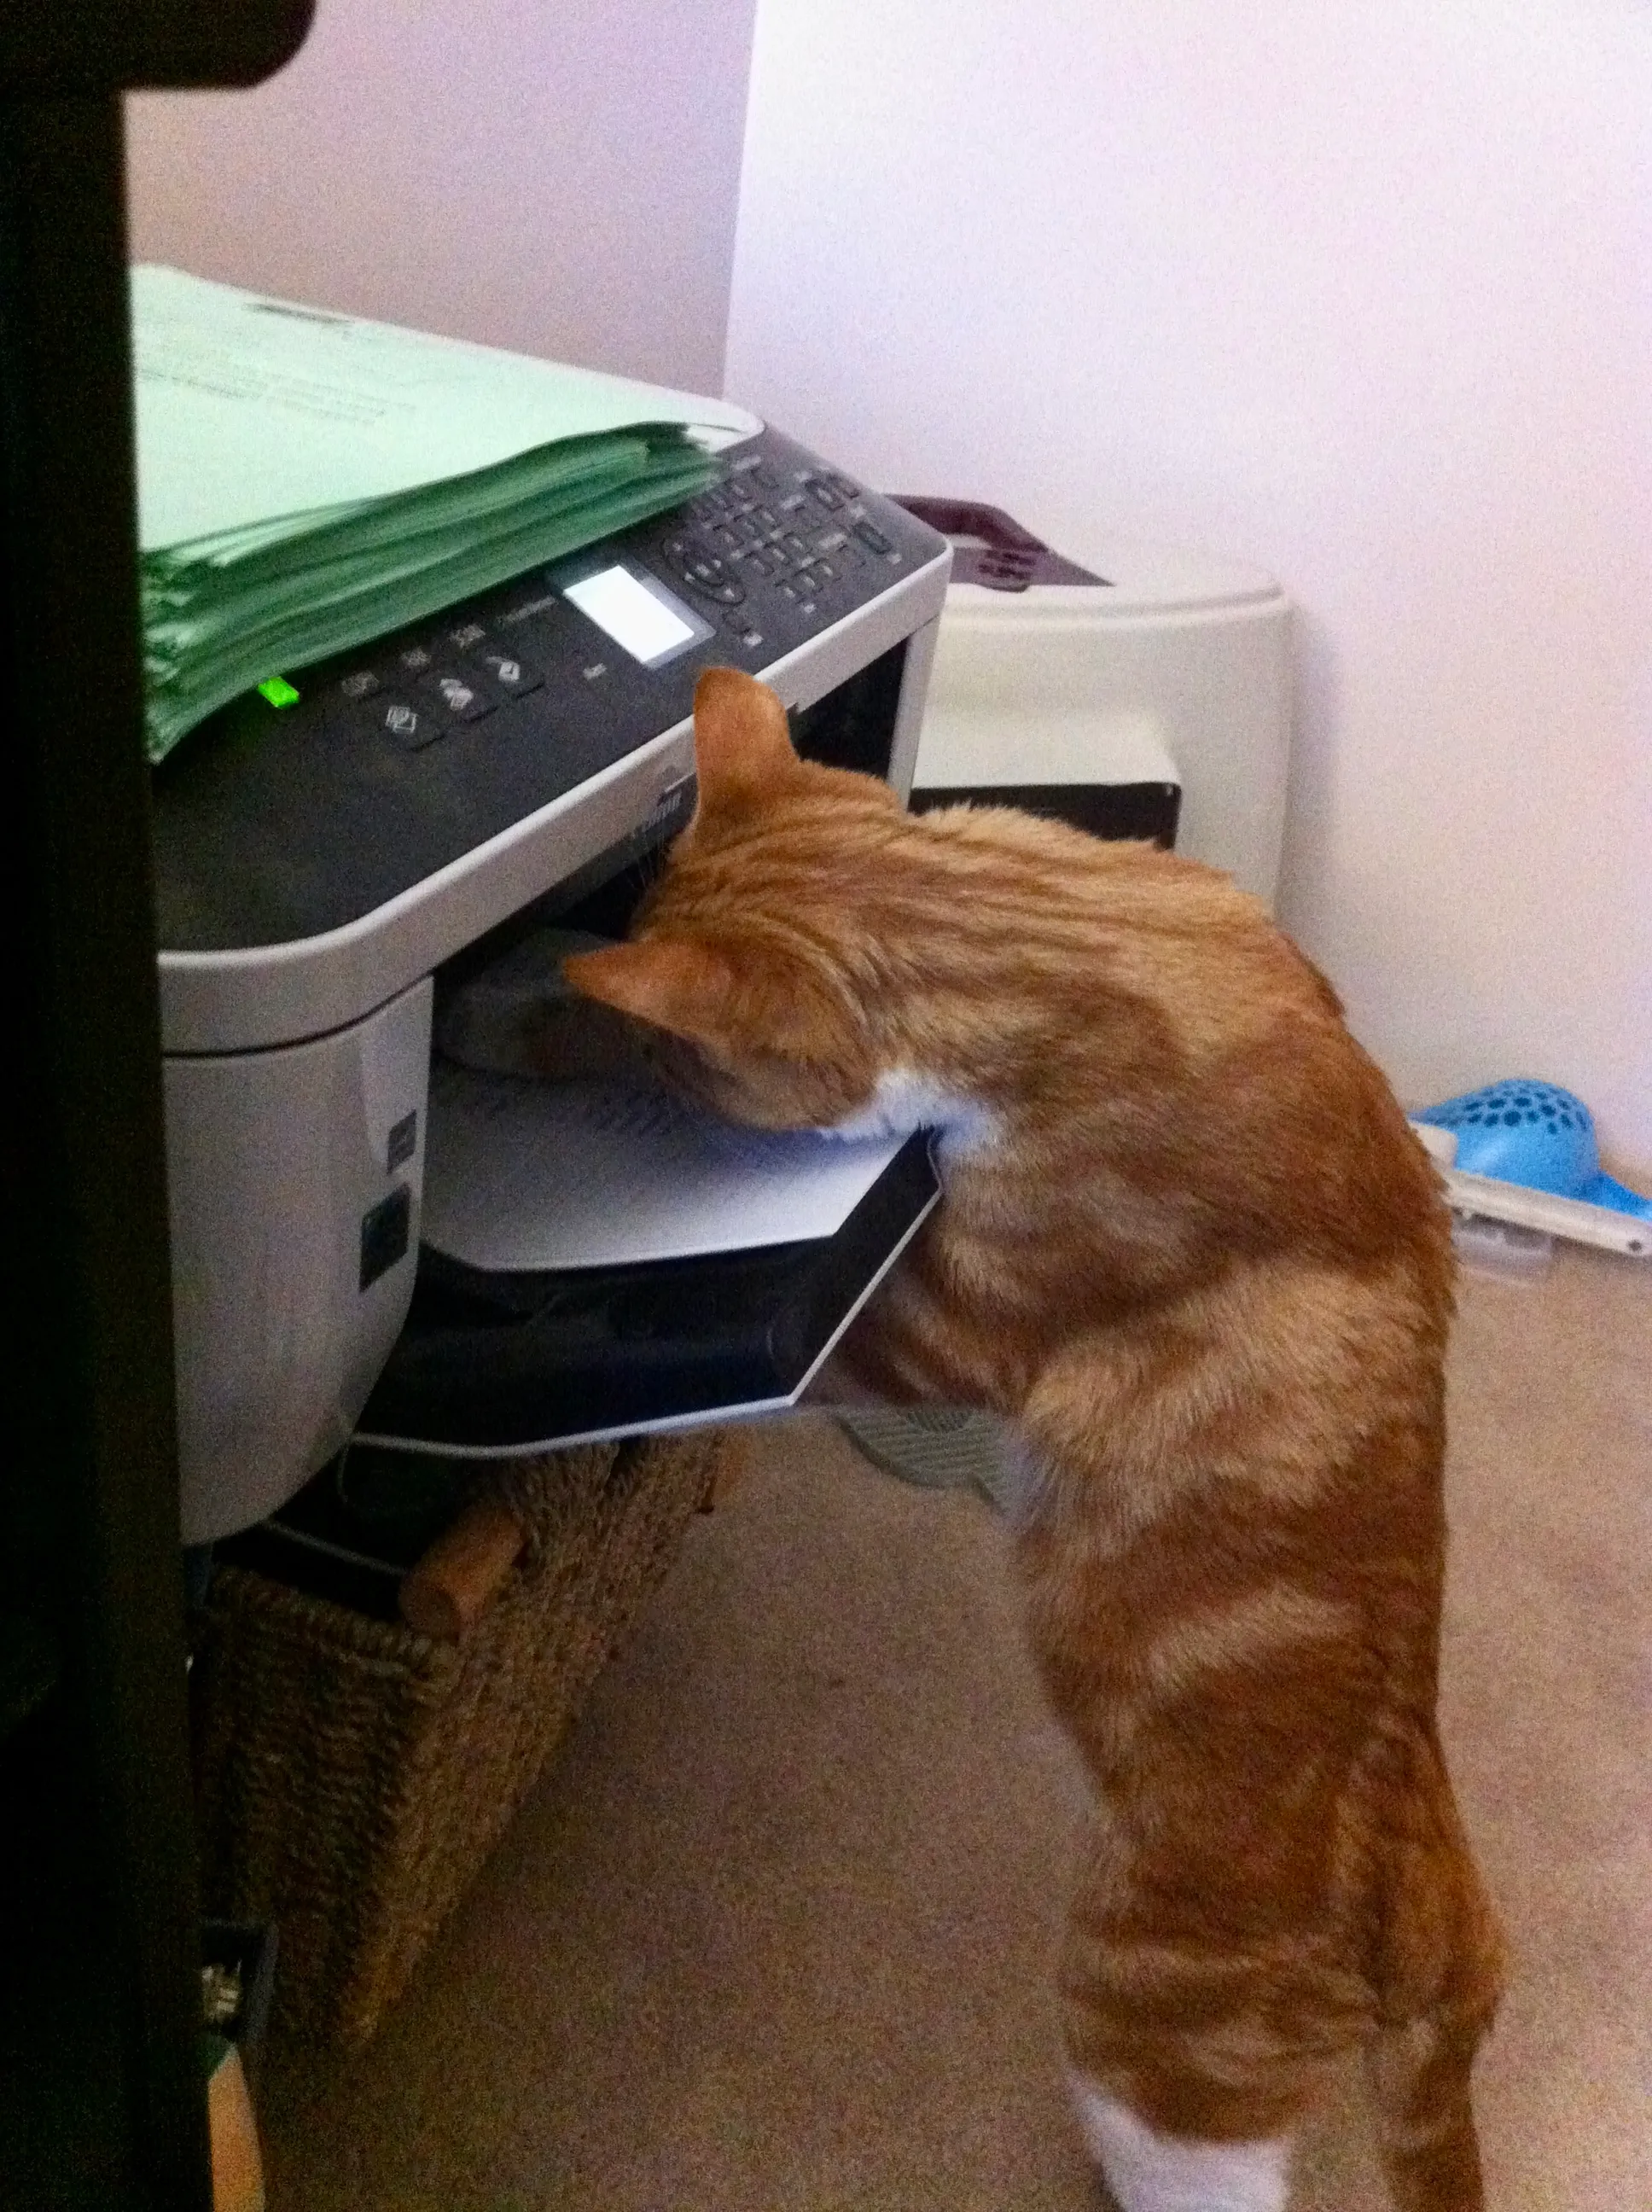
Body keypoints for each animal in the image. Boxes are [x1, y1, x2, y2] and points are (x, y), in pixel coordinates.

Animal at [566, 663, 1494, 2203]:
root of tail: (1421, 1925)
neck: (1056, 927)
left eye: (667, 1052)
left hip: (1153, 2059)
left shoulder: (942, 1327)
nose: (630, 1066)